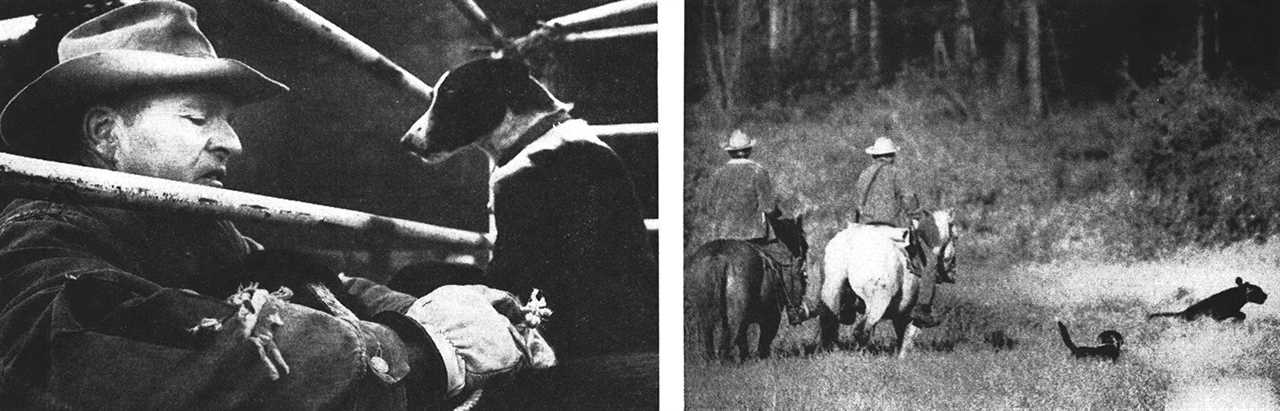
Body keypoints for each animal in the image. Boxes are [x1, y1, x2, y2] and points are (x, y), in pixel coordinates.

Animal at [691, 212, 808, 361]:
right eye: (802, 275)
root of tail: (718, 257)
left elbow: (744, 343)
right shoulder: (772, 316)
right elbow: (764, 341)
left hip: (704, 315)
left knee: (709, 338)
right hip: (735, 317)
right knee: (727, 343)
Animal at [814, 207, 957, 355]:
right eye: (955, 237)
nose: (953, 269)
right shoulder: (907, 316)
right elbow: (906, 339)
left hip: (831, 292)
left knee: (829, 323)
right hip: (878, 301)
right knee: (861, 330)